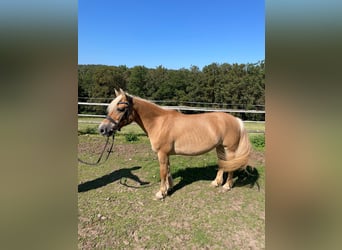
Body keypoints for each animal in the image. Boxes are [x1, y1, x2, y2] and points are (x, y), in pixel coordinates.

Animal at [99, 89, 251, 199]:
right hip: (220, 147)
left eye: (120, 109)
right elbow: (168, 170)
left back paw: (227, 186)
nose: (102, 129)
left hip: (230, 149)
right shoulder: (166, 154)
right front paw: (169, 187)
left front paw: (161, 193)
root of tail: (236, 119)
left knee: (231, 166)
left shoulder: (162, 153)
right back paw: (216, 183)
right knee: (223, 163)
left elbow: (163, 172)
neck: (159, 122)